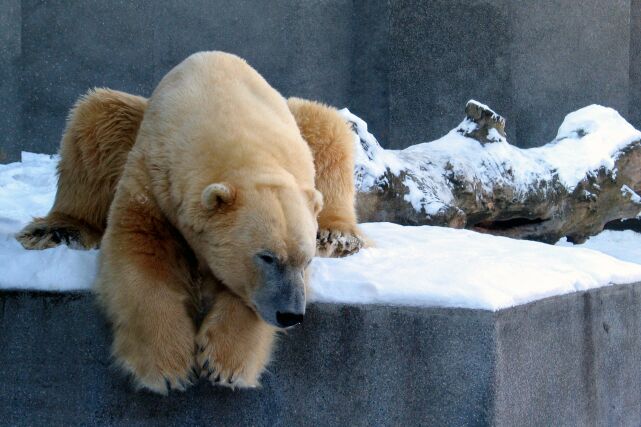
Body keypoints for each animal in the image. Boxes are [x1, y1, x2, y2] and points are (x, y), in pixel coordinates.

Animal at [17, 51, 362, 392]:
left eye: (306, 261)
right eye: (266, 257)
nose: (290, 315)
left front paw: (223, 363)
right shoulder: (152, 179)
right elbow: (140, 250)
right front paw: (170, 367)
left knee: (327, 123)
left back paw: (337, 236)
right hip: (128, 125)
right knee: (97, 115)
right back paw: (56, 230)